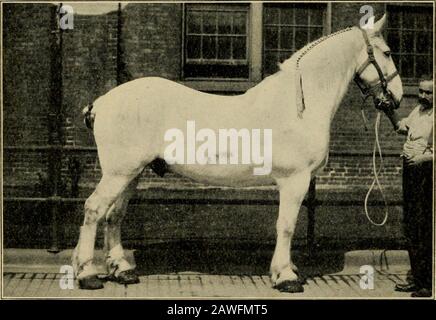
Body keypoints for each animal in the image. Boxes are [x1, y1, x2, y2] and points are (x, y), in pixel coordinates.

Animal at [71, 16, 402, 292]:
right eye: (386, 52)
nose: (397, 97)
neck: (299, 105)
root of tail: (101, 102)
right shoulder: (294, 181)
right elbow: (286, 226)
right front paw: (285, 277)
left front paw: (287, 270)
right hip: (119, 173)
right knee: (94, 209)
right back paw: (87, 274)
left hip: (133, 173)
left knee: (114, 215)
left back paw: (122, 271)